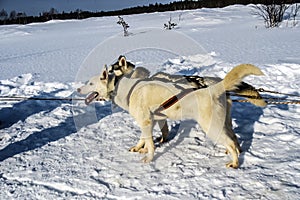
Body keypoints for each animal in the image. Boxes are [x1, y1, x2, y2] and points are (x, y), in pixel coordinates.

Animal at [77, 63, 262, 168]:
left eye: (90, 83)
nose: (78, 89)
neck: (125, 88)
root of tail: (213, 88)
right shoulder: (152, 121)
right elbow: (145, 139)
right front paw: (139, 148)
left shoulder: (146, 121)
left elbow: (150, 144)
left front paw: (149, 158)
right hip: (223, 123)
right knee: (233, 137)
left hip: (211, 127)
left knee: (230, 142)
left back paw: (235, 162)